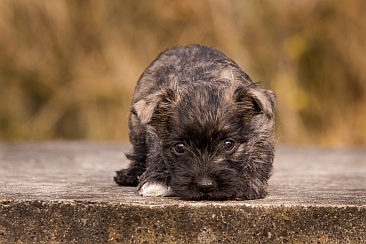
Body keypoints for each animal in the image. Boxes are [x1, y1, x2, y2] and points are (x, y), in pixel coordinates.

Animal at [114, 43, 274, 200]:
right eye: (179, 147)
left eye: (228, 144)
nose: (205, 185)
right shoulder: (154, 133)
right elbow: (156, 153)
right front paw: (157, 180)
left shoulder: (261, 131)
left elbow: (259, 156)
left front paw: (247, 184)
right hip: (136, 127)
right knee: (139, 152)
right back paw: (129, 174)